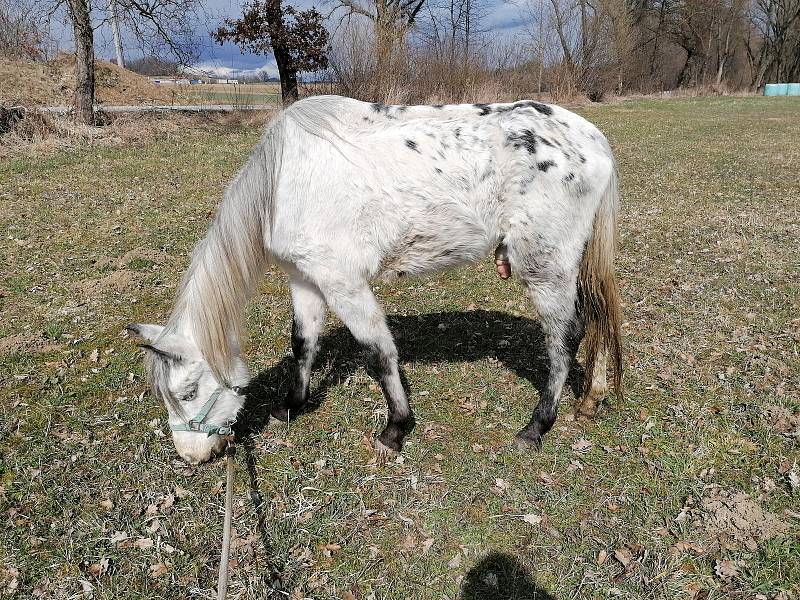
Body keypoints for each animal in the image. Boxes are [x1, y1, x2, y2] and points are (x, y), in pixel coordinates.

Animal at [126, 96, 624, 466]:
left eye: (187, 392)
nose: (192, 456)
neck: (285, 180)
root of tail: (594, 140)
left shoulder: (342, 282)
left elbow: (377, 351)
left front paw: (395, 429)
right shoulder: (305, 277)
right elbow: (303, 341)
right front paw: (293, 404)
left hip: (544, 265)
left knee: (566, 336)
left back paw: (537, 426)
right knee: (596, 318)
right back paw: (590, 399)